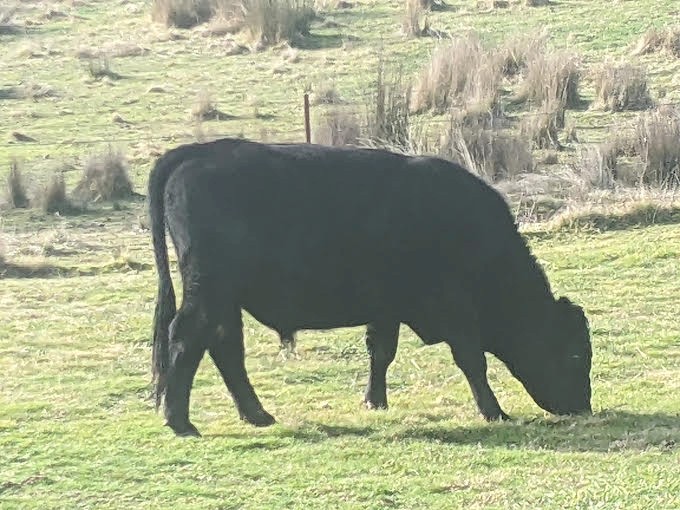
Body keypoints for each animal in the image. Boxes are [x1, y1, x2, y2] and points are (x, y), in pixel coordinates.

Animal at [148, 137, 592, 437]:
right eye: (574, 354)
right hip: (209, 290)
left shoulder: (387, 309)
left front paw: (374, 401)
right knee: (187, 337)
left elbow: (381, 353)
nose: (582, 407)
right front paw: (493, 411)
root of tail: (199, 151)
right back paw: (181, 422)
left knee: (223, 347)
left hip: (225, 299)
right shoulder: (456, 311)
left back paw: (257, 415)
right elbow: (472, 361)